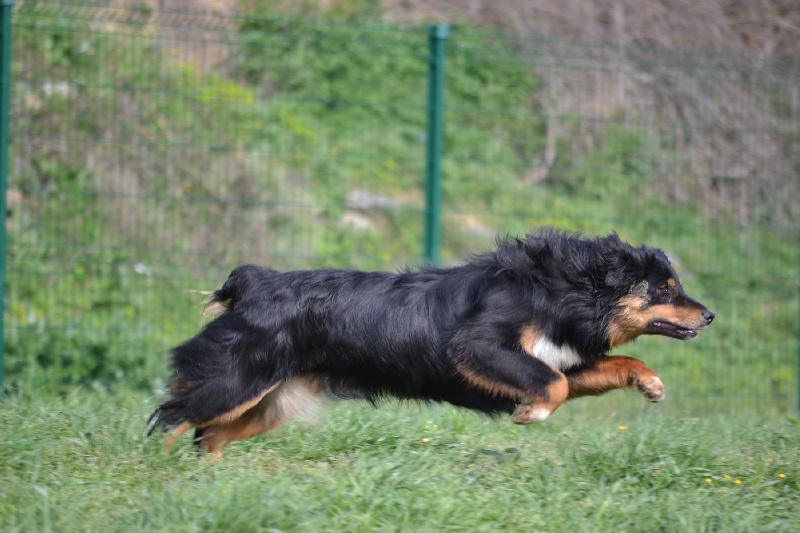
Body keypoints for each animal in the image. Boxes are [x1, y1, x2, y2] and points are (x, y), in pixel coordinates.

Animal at [148, 227, 712, 456]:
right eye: (665, 288)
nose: (709, 315)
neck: (561, 291)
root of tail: (253, 281)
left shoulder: (563, 360)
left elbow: (612, 361)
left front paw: (650, 383)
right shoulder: (479, 346)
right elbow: (549, 384)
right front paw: (529, 414)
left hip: (270, 401)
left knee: (208, 437)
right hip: (236, 379)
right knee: (174, 418)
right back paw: (158, 473)